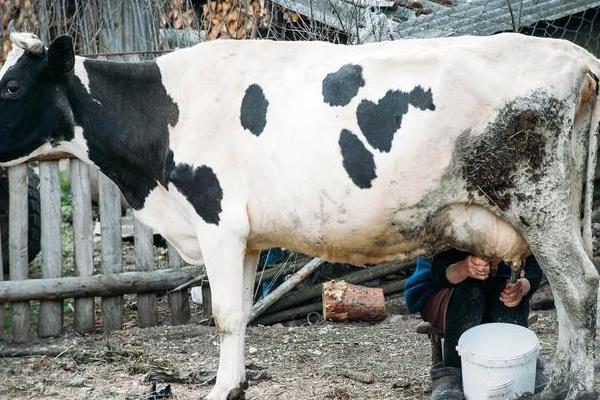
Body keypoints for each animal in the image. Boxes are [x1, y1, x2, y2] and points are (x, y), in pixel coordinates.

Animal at [1, 26, 600, 398]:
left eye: (11, 85)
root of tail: (573, 54)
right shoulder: (247, 237)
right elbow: (241, 314)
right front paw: (237, 384)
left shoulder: (216, 223)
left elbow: (222, 314)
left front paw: (219, 389)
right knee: (566, 296)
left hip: (538, 204)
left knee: (579, 290)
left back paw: (570, 387)